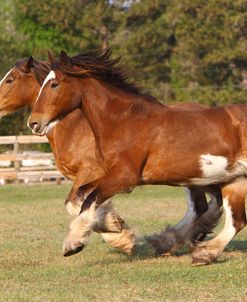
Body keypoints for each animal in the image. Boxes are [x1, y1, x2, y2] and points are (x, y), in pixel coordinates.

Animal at [28, 50, 246, 264]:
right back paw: (201, 253)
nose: (34, 123)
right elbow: (80, 196)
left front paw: (74, 244)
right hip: (232, 179)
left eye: (54, 84)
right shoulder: (107, 174)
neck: (123, 121)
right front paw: (112, 226)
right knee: (235, 220)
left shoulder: (125, 176)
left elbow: (90, 199)